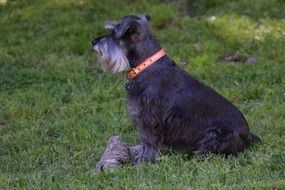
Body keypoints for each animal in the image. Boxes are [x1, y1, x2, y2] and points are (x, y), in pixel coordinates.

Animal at [91, 14, 260, 164]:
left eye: (114, 33)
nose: (93, 41)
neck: (146, 65)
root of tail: (249, 135)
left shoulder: (149, 121)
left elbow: (148, 143)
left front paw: (142, 162)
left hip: (213, 135)